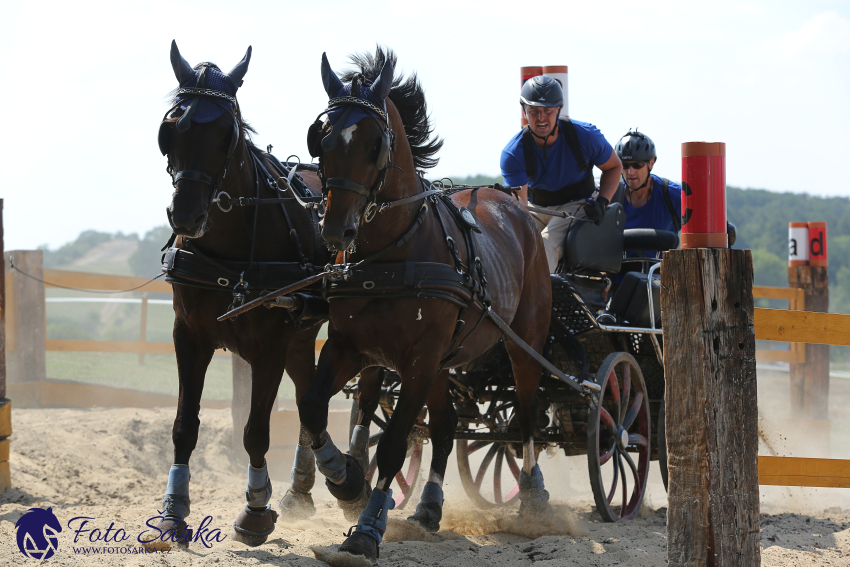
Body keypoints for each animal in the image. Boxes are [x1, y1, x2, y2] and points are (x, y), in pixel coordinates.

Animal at [151, 41, 326, 552]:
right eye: (171, 128)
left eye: (226, 133)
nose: (185, 214)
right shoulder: (189, 337)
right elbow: (184, 427)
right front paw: (173, 512)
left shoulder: (269, 346)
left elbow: (255, 432)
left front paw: (255, 509)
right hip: (301, 332)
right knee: (310, 395)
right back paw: (306, 486)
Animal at [298, 50, 556, 564]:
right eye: (323, 139)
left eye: (375, 143)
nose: (335, 229)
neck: (390, 252)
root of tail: (516, 208)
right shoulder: (351, 348)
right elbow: (313, 406)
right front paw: (345, 478)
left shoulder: (417, 360)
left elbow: (395, 444)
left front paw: (366, 530)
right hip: (443, 362)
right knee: (444, 427)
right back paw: (429, 507)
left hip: (523, 344)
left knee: (525, 414)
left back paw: (533, 496)